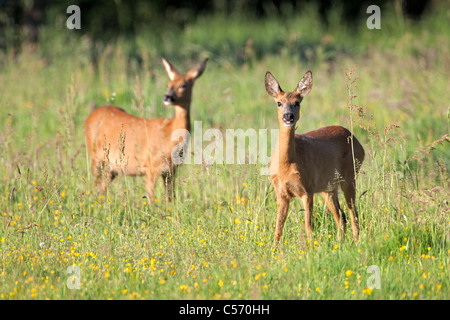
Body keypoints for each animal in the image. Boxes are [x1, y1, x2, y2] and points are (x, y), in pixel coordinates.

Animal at [84, 58, 207, 200]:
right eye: (168, 84)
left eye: (183, 85)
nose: (167, 97)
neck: (170, 133)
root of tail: (90, 116)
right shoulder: (151, 167)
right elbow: (152, 199)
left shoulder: (171, 171)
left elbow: (170, 198)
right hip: (95, 156)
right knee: (95, 184)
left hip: (111, 167)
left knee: (102, 188)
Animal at [266, 70, 364, 242]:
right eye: (278, 103)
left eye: (297, 102)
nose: (288, 116)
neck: (287, 165)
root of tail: (358, 142)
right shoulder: (281, 193)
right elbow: (278, 229)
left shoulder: (308, 189)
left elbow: (308, 227)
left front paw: (311, 247)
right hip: (329, 187)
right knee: (342, 217)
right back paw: (340, 243)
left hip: (349, 176)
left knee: (353, 214)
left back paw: (356, 242)